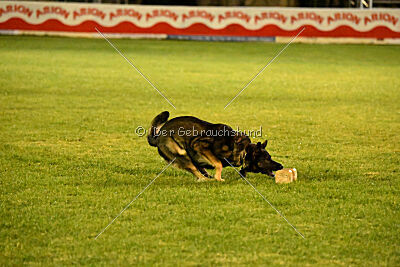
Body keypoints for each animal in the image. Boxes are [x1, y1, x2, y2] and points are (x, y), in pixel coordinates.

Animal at [148, 111, 282, 182]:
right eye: (267, 159)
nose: (281, 166)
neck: (244, 151)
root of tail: (158, 136)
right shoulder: (199, 145)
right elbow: (219, 163)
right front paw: (218, 178)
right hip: (181, 153)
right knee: (196, 171)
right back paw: (207, 180)